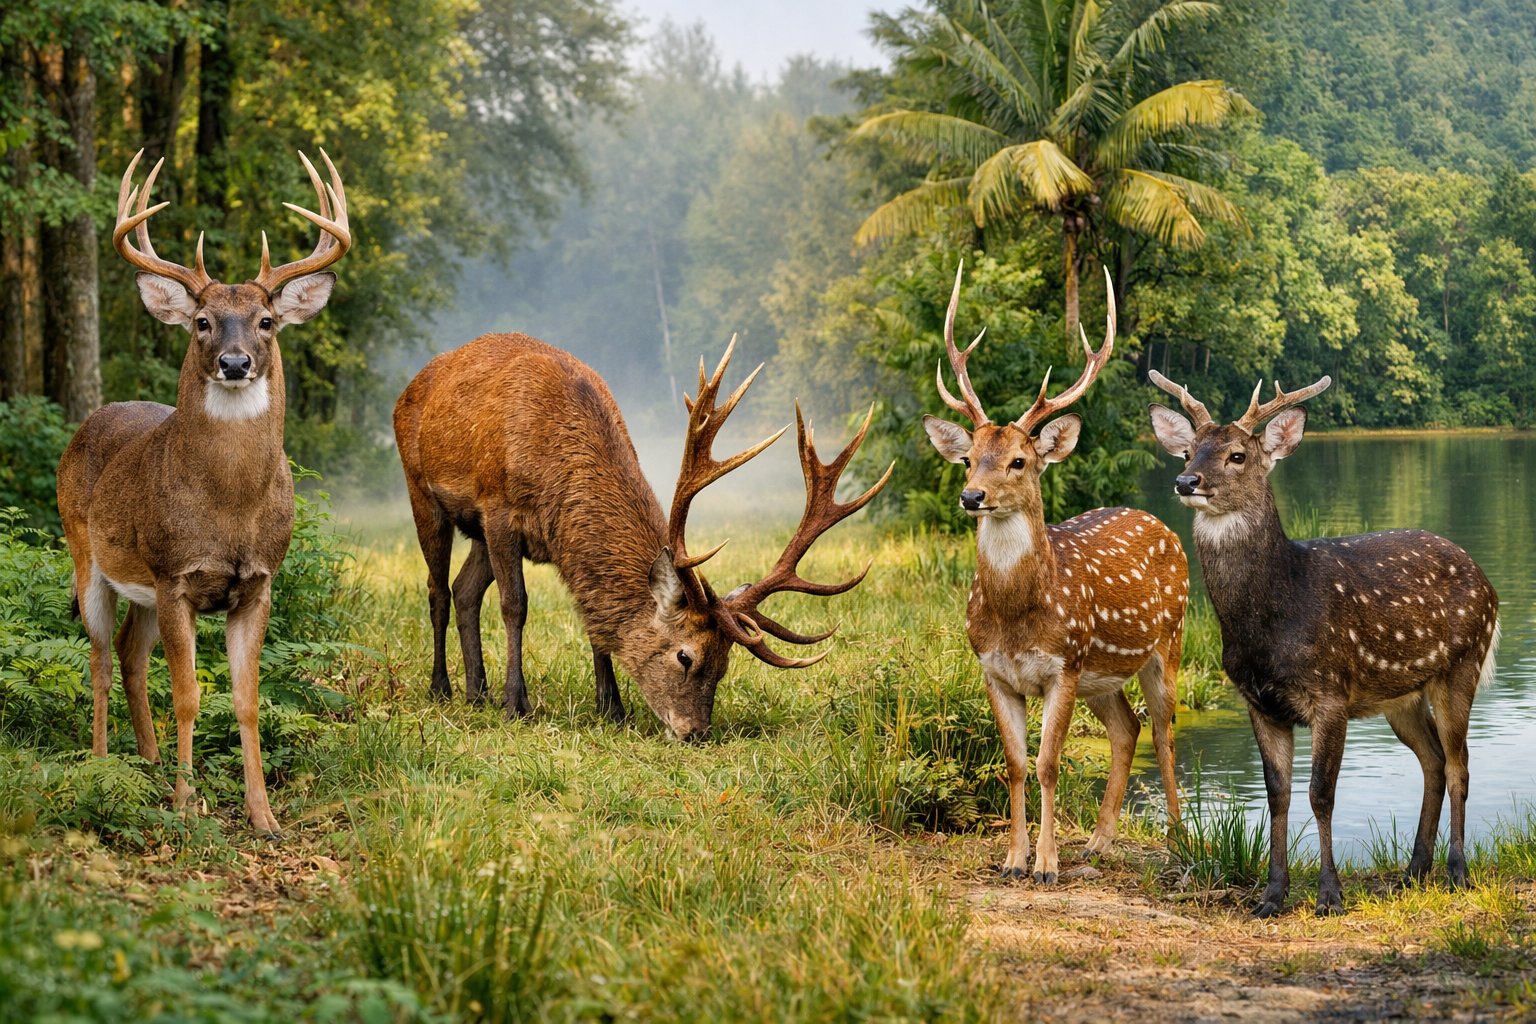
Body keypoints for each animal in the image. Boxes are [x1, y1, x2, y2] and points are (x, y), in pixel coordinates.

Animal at [55, 148, 350, 835]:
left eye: (267, 321)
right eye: (202, 321)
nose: (235, 362)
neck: (231, 507)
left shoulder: (258, 582)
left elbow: (246, 699)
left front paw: (263, 816)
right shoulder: (174, 575)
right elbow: (189, 695)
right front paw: (188, 809)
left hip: (141, 588)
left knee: (131, 656)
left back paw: (151, 763)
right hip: (88, 557)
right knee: (100, 660)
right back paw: (104, 767)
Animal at [392, 333, 891, 738]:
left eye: (725, 666)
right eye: (685, 656)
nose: (695, 732)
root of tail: (408, 387)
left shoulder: (557, 547)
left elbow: (593, 619)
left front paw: (611, 707)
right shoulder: (497, 509)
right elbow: (515, 605)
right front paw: (517, 703)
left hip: (472, 530)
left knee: (465, 589)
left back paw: (477, 691)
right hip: (421, 491)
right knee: (438, 591)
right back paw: (443, 687)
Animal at [922, 264, 1188, 884]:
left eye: (1019, 461)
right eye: (967, 458)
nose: (972, 496)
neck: (1017, 618)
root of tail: (1158, 521)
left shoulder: (1062, 664)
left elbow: (1048, 763)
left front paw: (1045, 864)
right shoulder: (994, 671)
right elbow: (1016, 764)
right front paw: (1013, 860)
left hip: (1168, 640)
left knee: (1163, 732)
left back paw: (1179, 840)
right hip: (1102, 675)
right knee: (1126, 728)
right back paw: (1098, 842)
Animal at [1148, 372, 1500, 917]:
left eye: (1237, 455)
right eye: (1187, 452)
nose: (1188, 482)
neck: (1273, 619)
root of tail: (1489, 585)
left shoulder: (1330, 691)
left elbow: (1321, 793)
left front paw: (1329, 896)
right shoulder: (1258, 700)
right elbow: (1277, 794)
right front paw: (1272, 896)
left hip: (1462, 663)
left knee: (1460, 764)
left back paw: (1457, 873)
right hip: (1400, 697)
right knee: (1435, 762)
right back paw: (1413, 871)